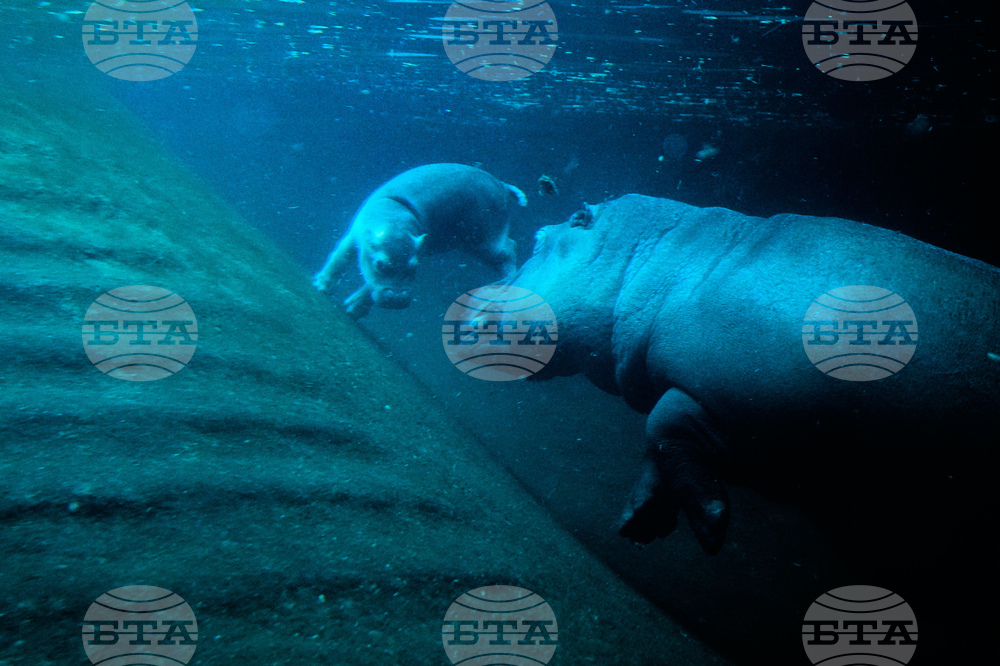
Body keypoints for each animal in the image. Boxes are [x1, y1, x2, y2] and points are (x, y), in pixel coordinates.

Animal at [314, 163, 526, 318]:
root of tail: (502, 184)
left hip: (484, 241)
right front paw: (321, 287)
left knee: (509, 250)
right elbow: (339, 259)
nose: (397, 299)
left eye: (414, 267)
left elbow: (368, 284)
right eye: (380, 264)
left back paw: (505, 284)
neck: (395, 219)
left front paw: (353, 307)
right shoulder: (356, 238)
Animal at [506, 194, 999, 555]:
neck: (668, 261)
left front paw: (709, 523)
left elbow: (662, 427)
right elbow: (660, 442)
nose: (485, 297)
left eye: (539, 238)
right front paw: (638, 523)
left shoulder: (750, 411)